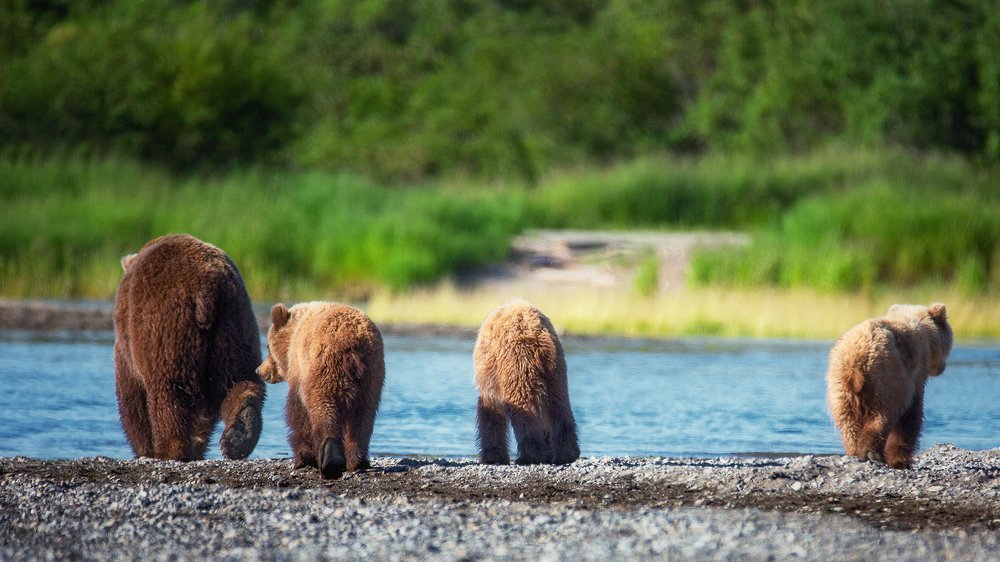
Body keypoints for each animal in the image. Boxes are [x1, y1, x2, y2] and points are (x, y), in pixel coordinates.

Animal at [114, 234, 265, 461]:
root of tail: (209, 286)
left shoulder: (127, 346)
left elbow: (132, 396)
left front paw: (143, 449)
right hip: (235, 324)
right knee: (240, 378)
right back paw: (239, 434)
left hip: (167, 325)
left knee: (169, 391)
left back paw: (170, 450)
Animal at [257, 302, 385, 479]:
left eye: (268, 347)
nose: (259, 370)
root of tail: (353, 342)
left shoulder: (301, 371)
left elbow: (298, 412)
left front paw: (304, 457)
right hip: (372, 378)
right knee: (363, 417)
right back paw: (357, 461)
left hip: (325, 368)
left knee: (324, 410)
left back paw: (331, 460)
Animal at [473, 299, 580, 465]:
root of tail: (539, 336)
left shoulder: (491, 379)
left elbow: (491, 414)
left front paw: (493, 457)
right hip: (556, 373)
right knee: (559, 406)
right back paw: (566, 454)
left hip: (516, 364)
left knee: (524, 408)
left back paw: (528, 456)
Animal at [826, 303, 953, 469]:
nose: (942, 368)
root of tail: (857, 359)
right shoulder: (913, 373)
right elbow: (911, 414)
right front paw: (901, 460)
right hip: (884, 378)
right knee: (881, 416)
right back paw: (872, 453)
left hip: (840, 386)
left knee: (848, 422)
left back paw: (854, 451)